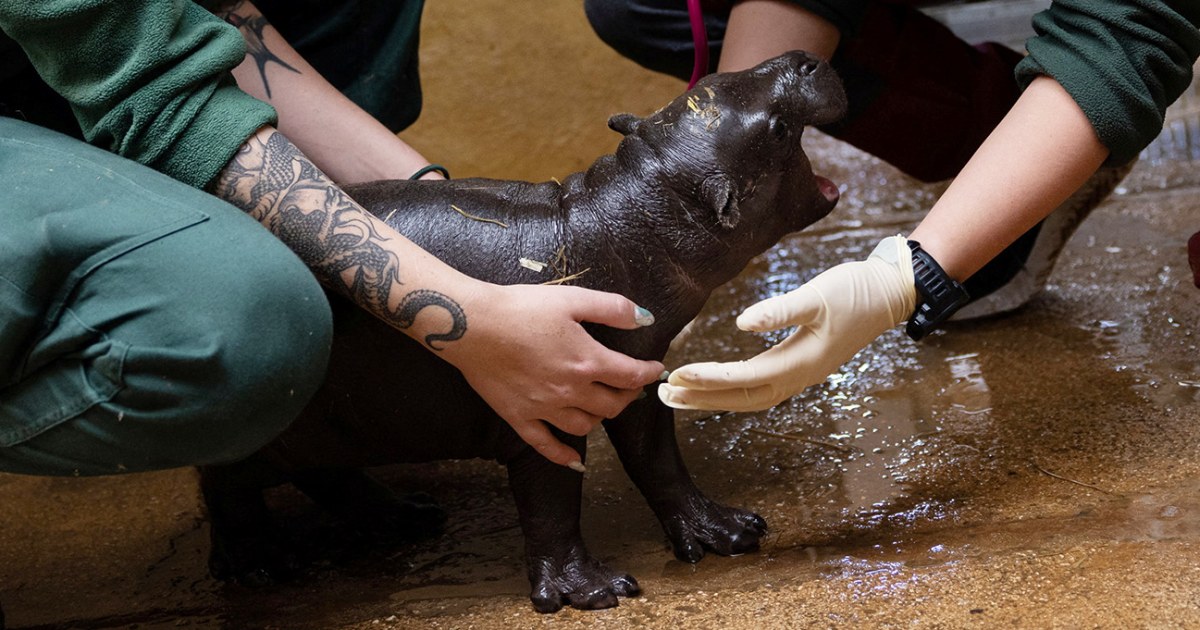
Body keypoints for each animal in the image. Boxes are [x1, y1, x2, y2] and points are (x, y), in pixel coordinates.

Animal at [198, 50, 847, 613]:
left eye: (715, 75)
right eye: (777, 129)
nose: (803, 58)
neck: (622, 220)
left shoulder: (635, 381)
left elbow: (659, 461)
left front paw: (730, 532)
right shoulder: (545, 410)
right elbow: (554, 501)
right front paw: (594, 592)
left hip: (336, 423)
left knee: (323, 477)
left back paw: (408, 516)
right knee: (224, 485)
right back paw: (261, 566)